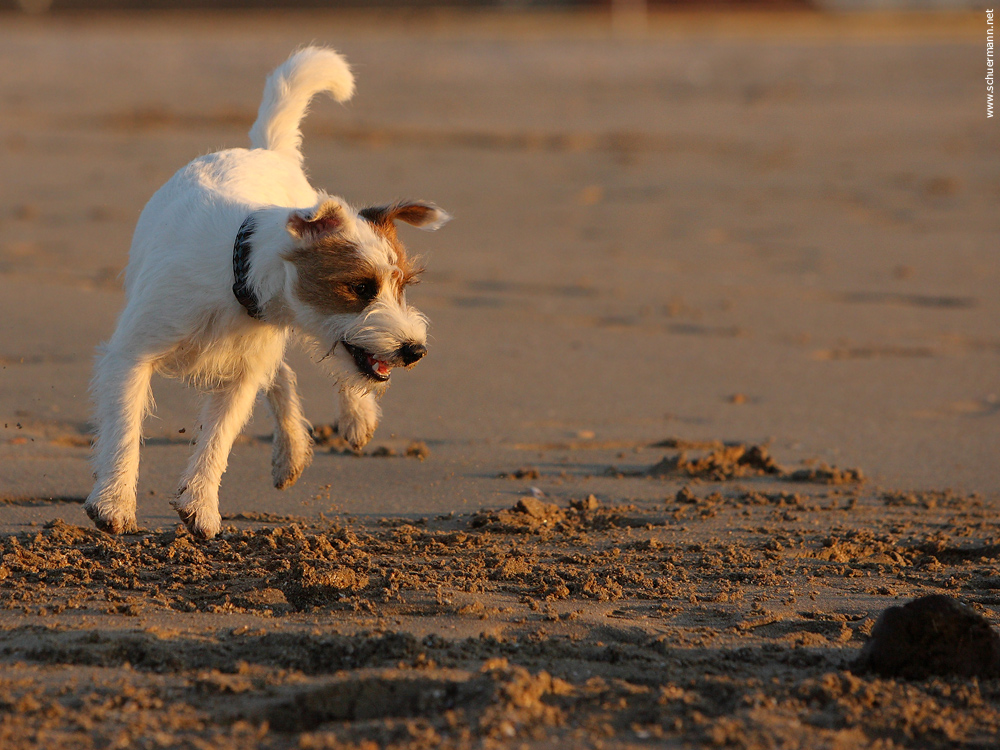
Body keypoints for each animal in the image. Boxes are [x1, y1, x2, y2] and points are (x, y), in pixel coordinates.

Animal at [84, 47, 448, 540]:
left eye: (403, 287)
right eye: (360, 287)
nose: (415, 350)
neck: (237, 275)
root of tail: (264, 150)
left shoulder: (241, 375)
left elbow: (217, 439)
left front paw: (200, 505)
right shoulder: (132, 356)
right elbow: (124, 429)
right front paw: (115, 502)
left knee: (289, 375)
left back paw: (343, 423)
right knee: (284, 376)